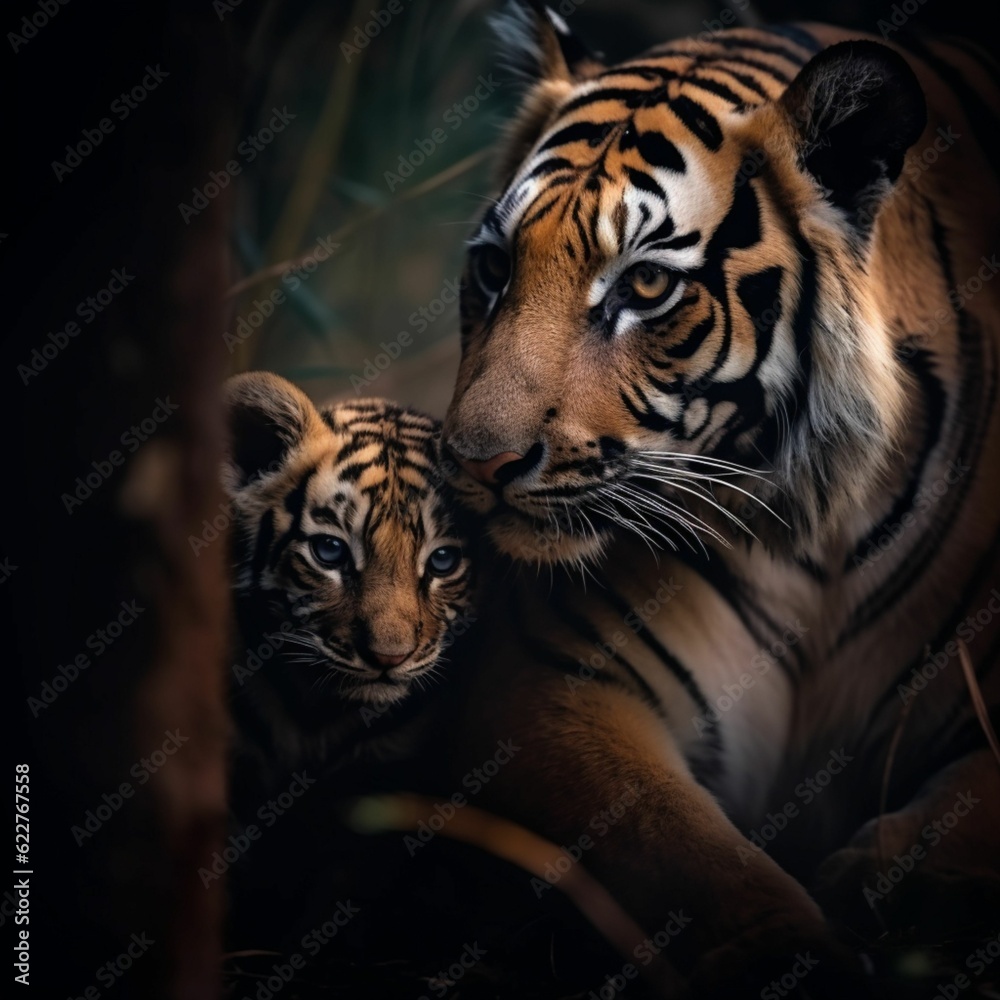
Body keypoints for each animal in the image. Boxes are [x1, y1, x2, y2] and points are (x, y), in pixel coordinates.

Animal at [440, 3, 1000, 994]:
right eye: (497, 267)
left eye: (646, 283)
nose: (477, 462)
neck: (823, 523)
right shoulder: (556, 683)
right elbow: (691, 863)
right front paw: (801, 960)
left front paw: (887, 886)